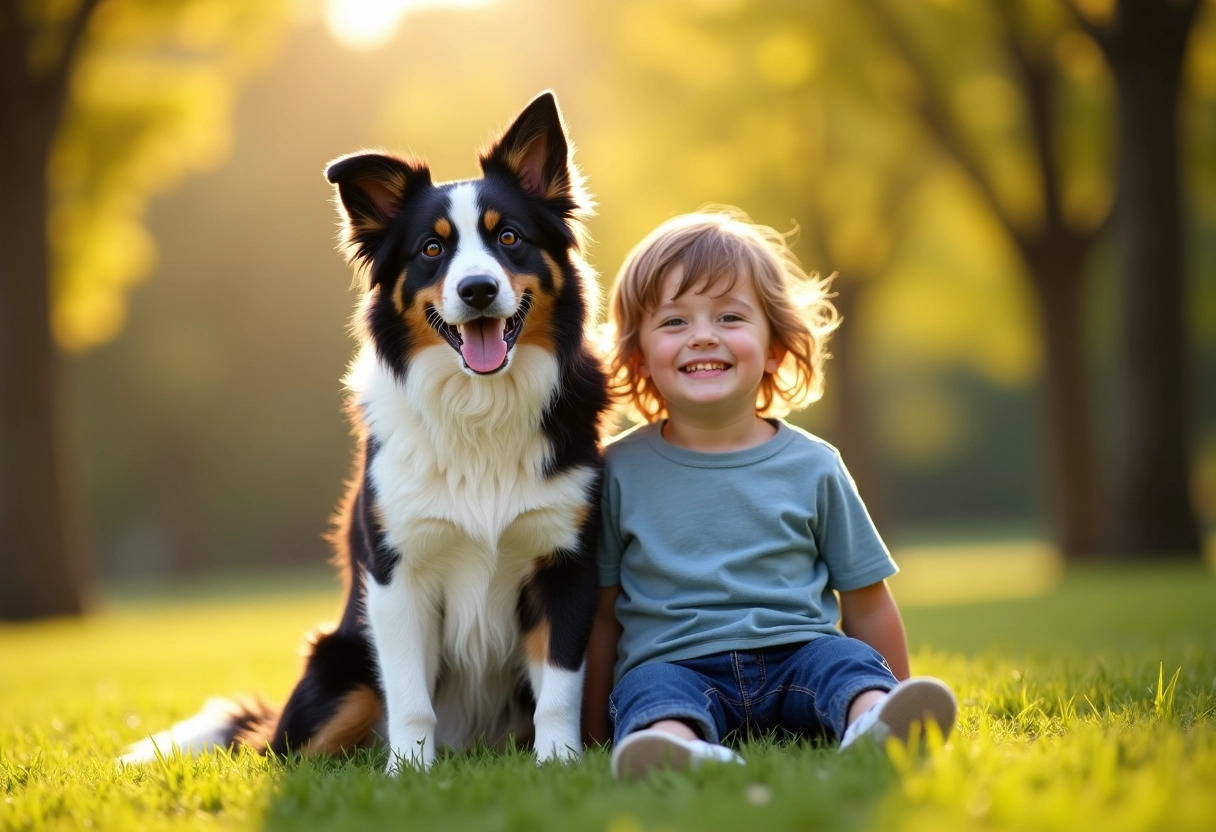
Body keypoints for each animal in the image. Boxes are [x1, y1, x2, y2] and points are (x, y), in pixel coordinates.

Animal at [123, 92, 608, 773]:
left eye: (509, 237)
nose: (477, 289)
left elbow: (559, 689)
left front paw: (558, 764)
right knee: (285, 750)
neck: (479, 408)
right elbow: (409, 696)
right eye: (431, 251)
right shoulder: (396, 573)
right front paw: (408, 775)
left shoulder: (565, 562)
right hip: (341, 668)